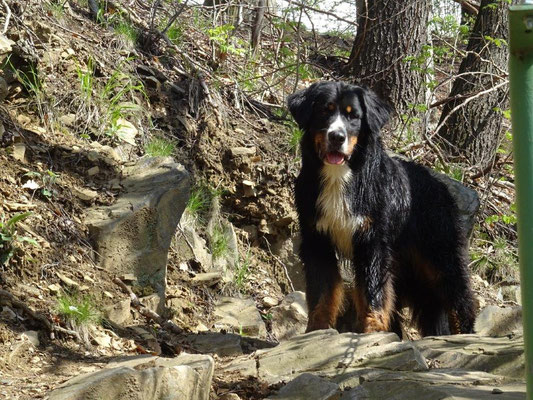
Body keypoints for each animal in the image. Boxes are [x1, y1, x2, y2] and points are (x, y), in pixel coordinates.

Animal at [288, 79, 476, 336]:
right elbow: (322, 291)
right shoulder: (317, 238)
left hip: (441, 255)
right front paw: (316, 329)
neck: (339, 178)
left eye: (353, 116)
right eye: (324, 111)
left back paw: (465, 334)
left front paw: (372, 328)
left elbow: (372, 290)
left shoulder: (372, 240)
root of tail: (439, 182)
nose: (337, 136)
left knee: (459, 299)